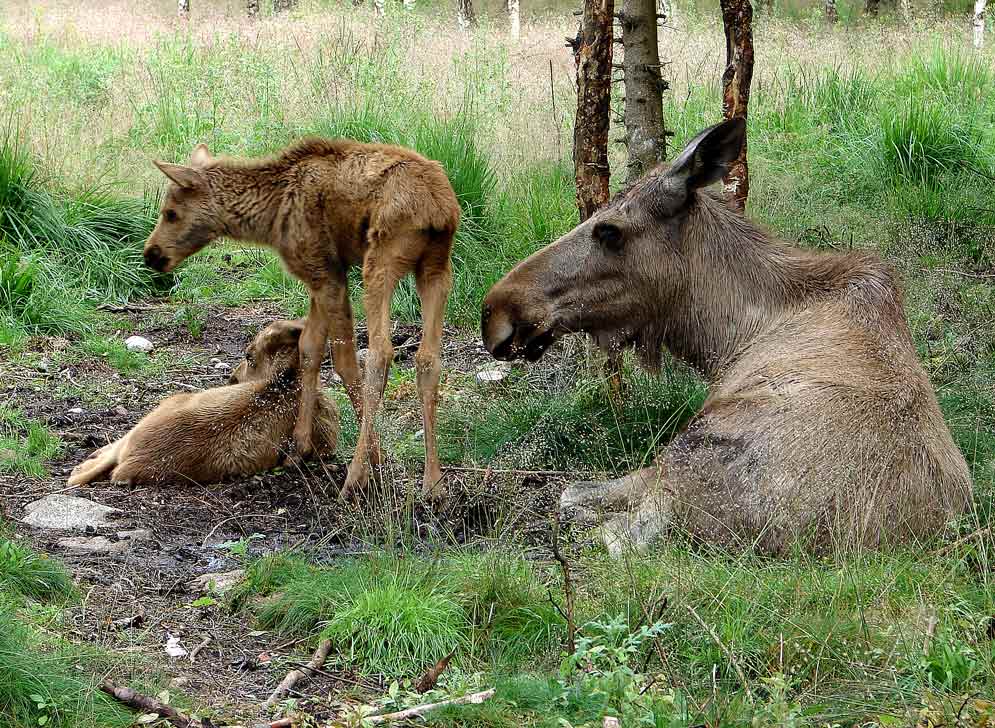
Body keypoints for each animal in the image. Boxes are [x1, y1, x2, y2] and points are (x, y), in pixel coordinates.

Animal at [143, 138, 460, 500]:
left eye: (171, 213)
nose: (151, 254)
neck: (268, 216)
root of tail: (438, 210)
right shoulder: (320, 274)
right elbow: (309, 347)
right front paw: (300, 446)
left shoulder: (326, 272)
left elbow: (343, 360)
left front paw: (375, 456)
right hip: (436, 268)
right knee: (428, 357)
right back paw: (433, 482)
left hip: (381, 261)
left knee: (381, 353)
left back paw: (356, 477)